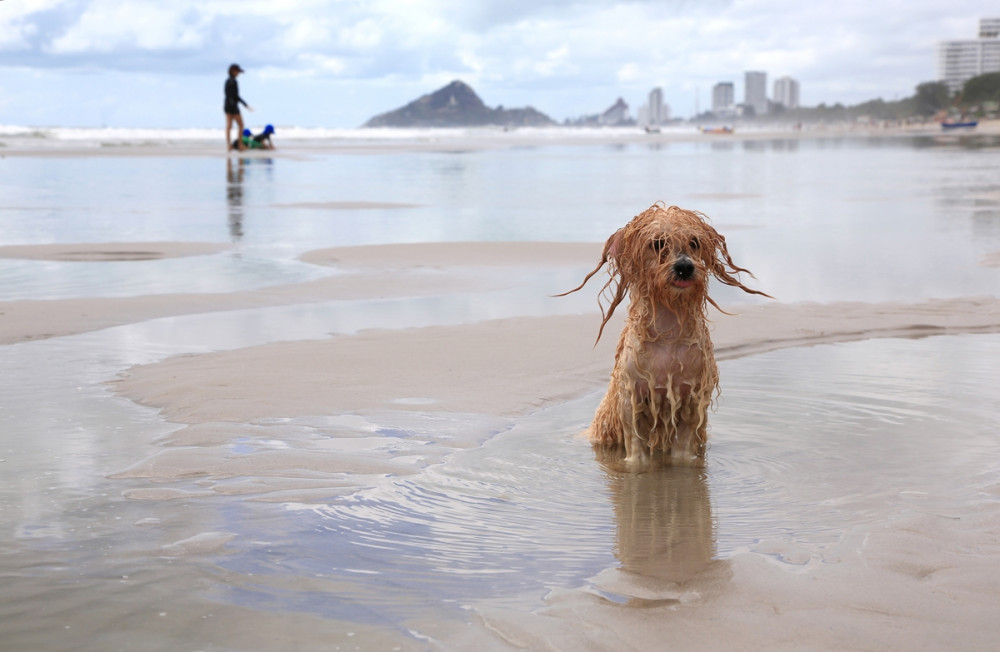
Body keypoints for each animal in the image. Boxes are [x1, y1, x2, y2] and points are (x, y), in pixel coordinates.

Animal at [560, 204, 768, 464]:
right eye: (658, 243)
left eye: (694, 242)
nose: (684, 267)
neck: (668, 333)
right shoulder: (631, 399)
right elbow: (636, 454)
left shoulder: (691, 399)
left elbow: (683, 454)